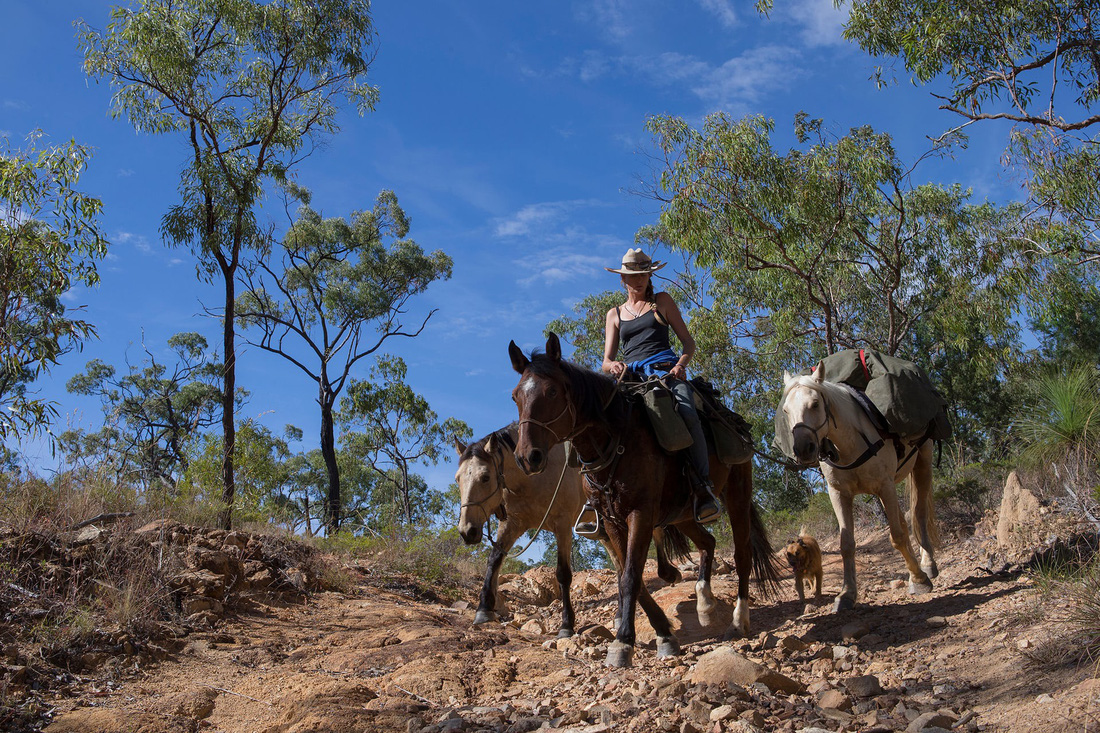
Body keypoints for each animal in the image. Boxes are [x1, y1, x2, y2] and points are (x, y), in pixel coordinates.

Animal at [508, 334, 783, 664]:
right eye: (515, 397)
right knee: (708, 542)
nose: (527, 458)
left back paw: (739, 621)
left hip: (737, 493)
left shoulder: (639, 514)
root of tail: (734, 420)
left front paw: (623, 643)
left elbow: (629, 576)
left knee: (742, 553)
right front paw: (664, 634)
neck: (615, 440)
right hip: (684, 513)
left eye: (551, 391)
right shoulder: (612, 521)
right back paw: (704, 604)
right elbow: (632, 576)